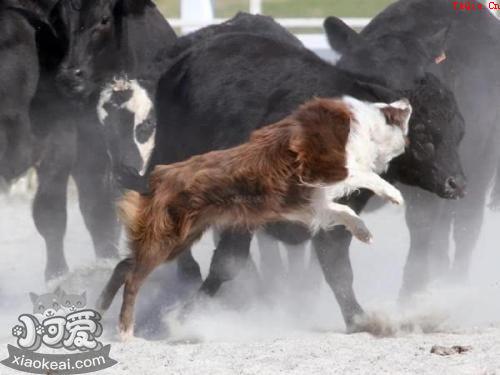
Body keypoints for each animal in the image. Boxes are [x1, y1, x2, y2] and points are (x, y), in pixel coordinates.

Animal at [96, 96, 410, 338]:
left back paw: (100, 306)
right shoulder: (321, 167)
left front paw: (363, 230)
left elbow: (343, 210)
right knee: (133, 279)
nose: (407, 100)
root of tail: (157, 176)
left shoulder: (311, 201)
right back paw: (125, 330)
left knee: (124, 265)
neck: (362, 128)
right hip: (166, 238)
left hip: (179, 238)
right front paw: (394, 194)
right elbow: (362, 173)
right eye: (391, 112)